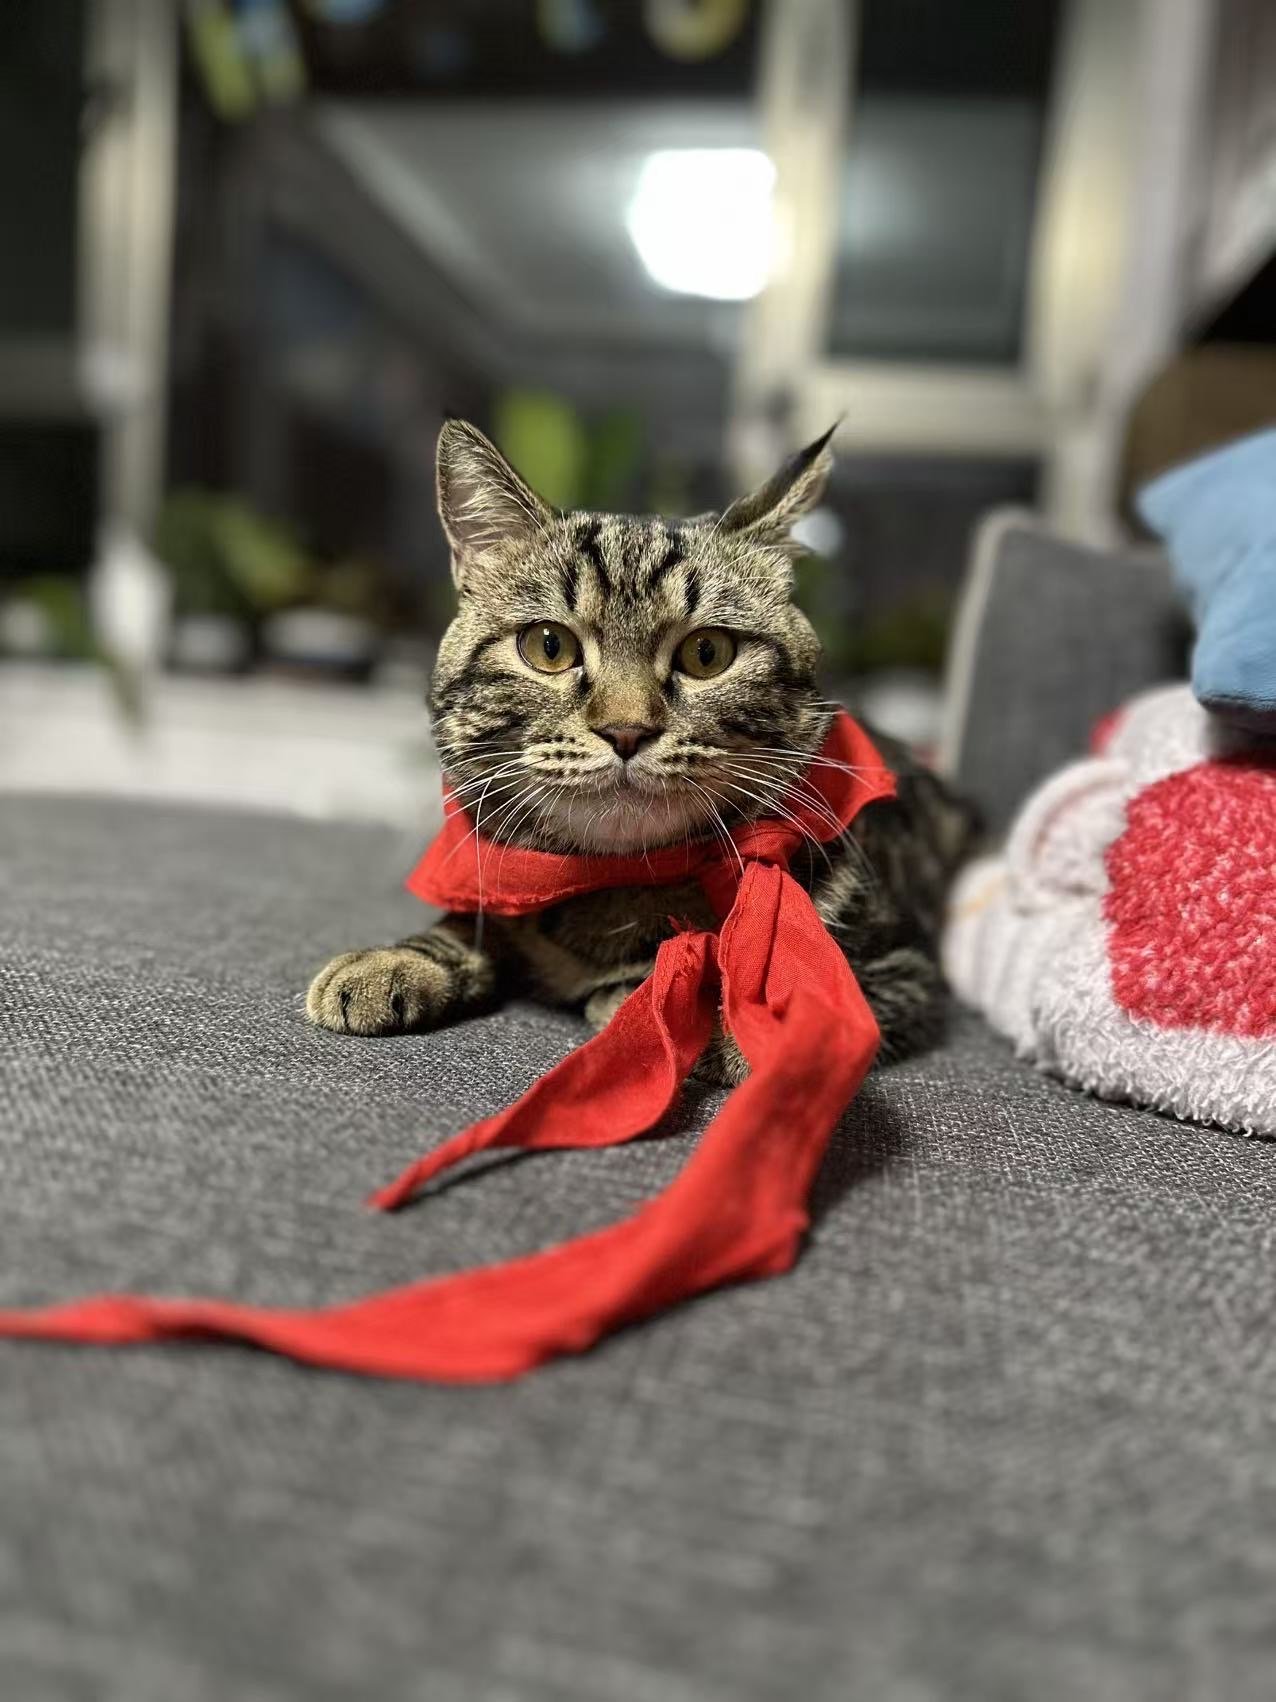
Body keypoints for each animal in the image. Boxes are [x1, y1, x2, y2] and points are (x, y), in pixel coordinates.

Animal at [306, 418, 975, 1085]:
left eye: (707, 653)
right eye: (548, 646)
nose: (626, 731)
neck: (621, 882)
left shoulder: (899, 972)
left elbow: (780, 1007)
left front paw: (682, 1003)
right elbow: (459, 926)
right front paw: (393, 961)